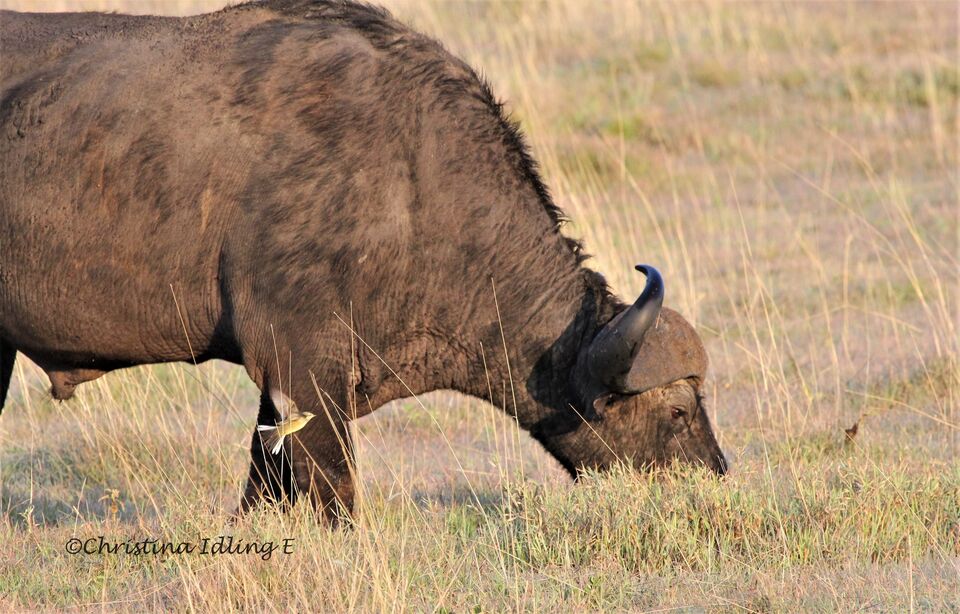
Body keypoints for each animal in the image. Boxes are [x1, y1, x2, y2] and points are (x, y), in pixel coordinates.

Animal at [0, 0, 726, 521]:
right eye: (678, 413)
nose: (713, 481)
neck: (414, 182)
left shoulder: (285, 384)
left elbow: (266, 482)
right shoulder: (305, 364)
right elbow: (334, 493)